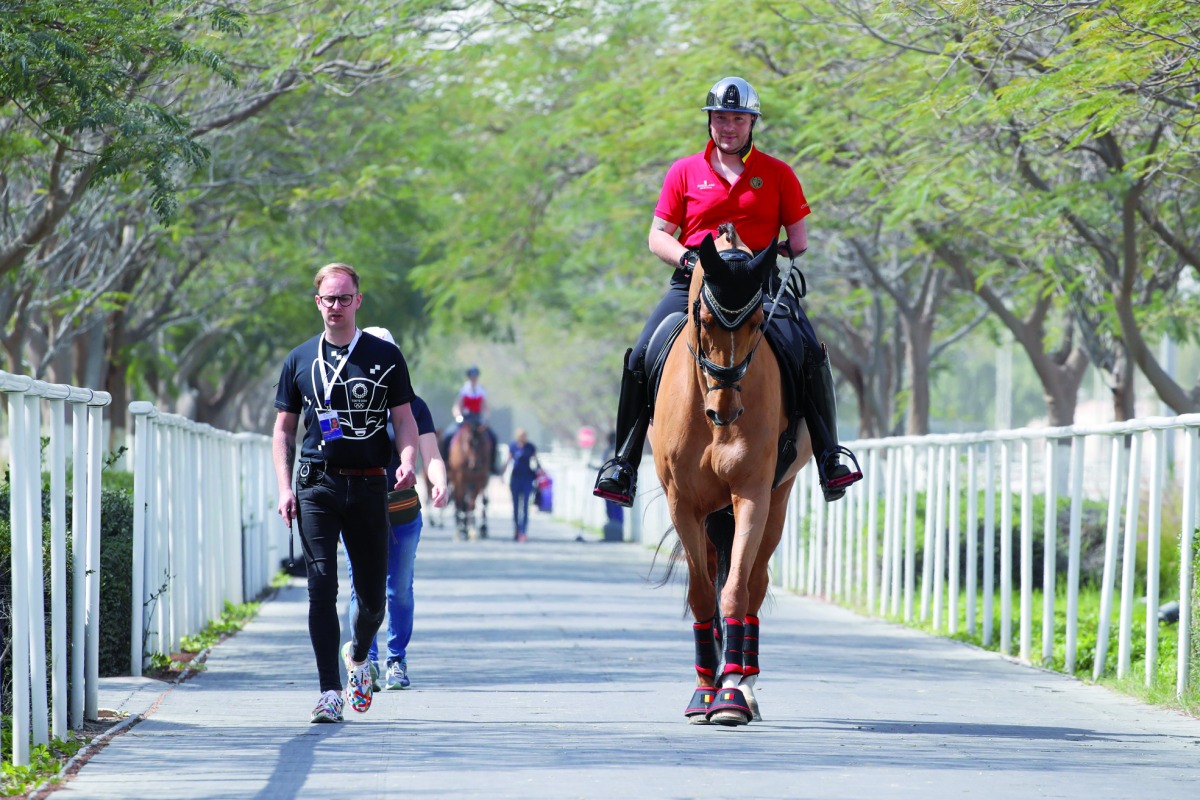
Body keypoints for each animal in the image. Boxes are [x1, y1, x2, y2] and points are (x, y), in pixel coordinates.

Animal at [648, 221, 816, 729]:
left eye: (759, 322)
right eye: (704, 319)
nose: (725, 410)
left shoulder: (752, 495)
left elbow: (736, 591)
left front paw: (729, 696)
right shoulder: (683, 504)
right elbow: (704, 595)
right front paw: (703, 692)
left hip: (777, 501)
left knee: (755, 584)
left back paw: (742, 681)